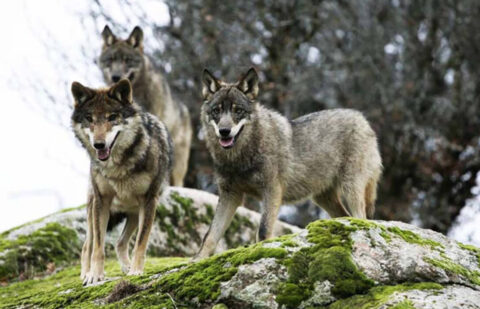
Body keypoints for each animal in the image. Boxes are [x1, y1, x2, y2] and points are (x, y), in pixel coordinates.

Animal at [69, 79, 171, 284]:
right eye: (89, 118)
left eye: (112, 117)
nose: (98, 145)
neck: (117, 166)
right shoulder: (102, 201)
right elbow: (98, 247)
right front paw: (95, 276)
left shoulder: (149, 200)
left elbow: (140, 242)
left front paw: (136, 271)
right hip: (93, 209)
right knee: (87, 246)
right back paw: (86, 274)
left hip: (134, 212)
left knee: (119, 242)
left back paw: (127, 267)